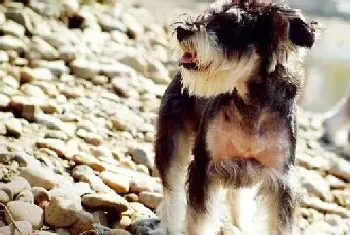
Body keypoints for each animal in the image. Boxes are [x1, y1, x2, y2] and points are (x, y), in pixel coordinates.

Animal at [154, 0, 318, 234]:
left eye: (231, 24)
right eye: (208, 14)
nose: (182, 30)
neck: (251, 103)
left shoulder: (281, 180)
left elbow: (278, 225)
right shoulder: (204, 167)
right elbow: (198, 220)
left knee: (238, 196)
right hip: (171, 143)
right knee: (171, 188)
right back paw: (169, 225)